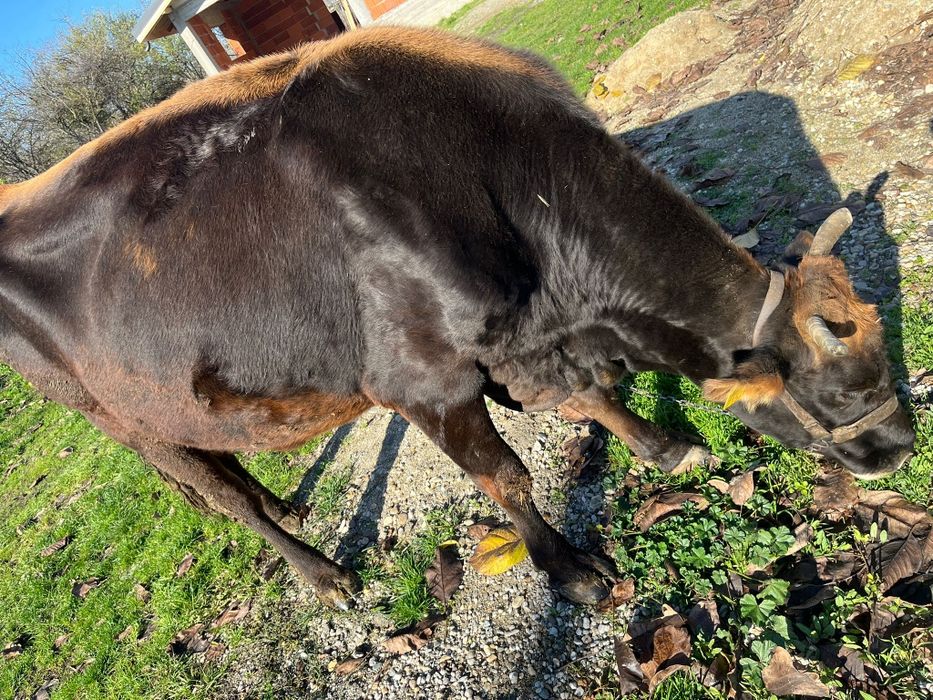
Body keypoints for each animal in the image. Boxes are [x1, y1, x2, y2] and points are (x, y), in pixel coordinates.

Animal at [0, 27, 914, 609]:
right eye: (837, 392)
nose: (901, 450)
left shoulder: (527, 347)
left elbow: (595, 401)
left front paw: (667, 448)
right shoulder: (420, 381)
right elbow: (506, 477)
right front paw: (568, 570)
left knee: (224, 469)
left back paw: (288, 506)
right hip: (120, 420)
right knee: (222, 501)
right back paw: (325, 576)